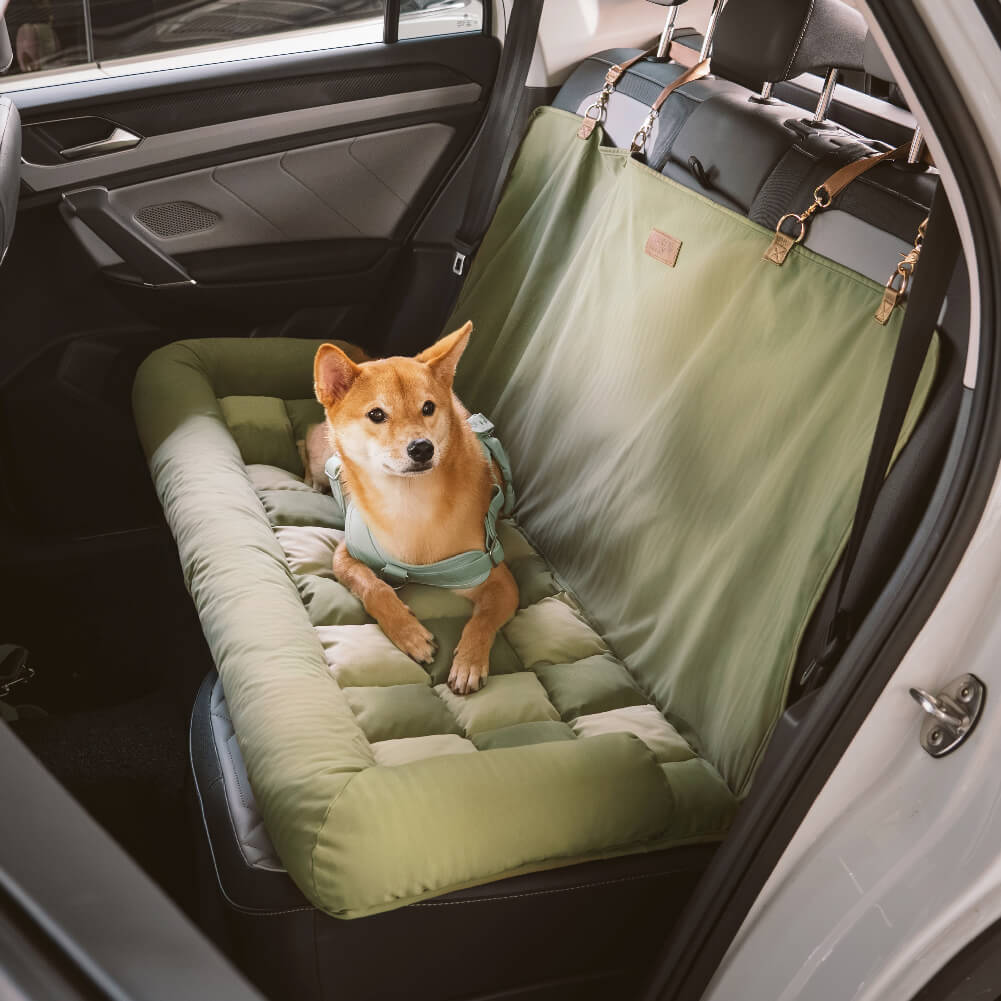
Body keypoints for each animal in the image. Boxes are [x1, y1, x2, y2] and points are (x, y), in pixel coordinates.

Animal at [310, 324, 516, 692]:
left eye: (428, 407)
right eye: (377, 414)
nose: (422, 447)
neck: (408, 505)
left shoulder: (498, 579)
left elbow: (482, 620)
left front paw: (469, 662)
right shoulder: (345, 554)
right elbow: (373, 587)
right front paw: (409, 634)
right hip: (322, 456)